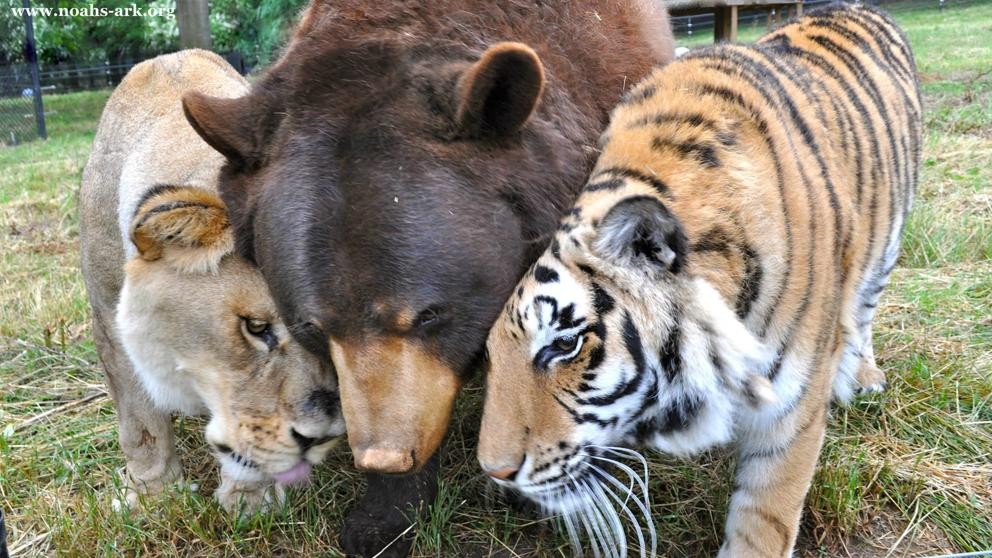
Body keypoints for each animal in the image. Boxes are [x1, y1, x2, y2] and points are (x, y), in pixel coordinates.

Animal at [79, 50, 346, 513]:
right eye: (256, 328)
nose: (322, 437)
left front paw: (251, 501)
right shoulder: (108, 319)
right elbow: (140, 423)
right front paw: (152, 496)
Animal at [477, 4, 921, 556]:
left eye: (564, 344)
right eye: (491, 354)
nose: (495, 473)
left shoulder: (791, 409)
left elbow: (765, 518)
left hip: (886, 246)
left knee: (862, 311)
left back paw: (862, 376)